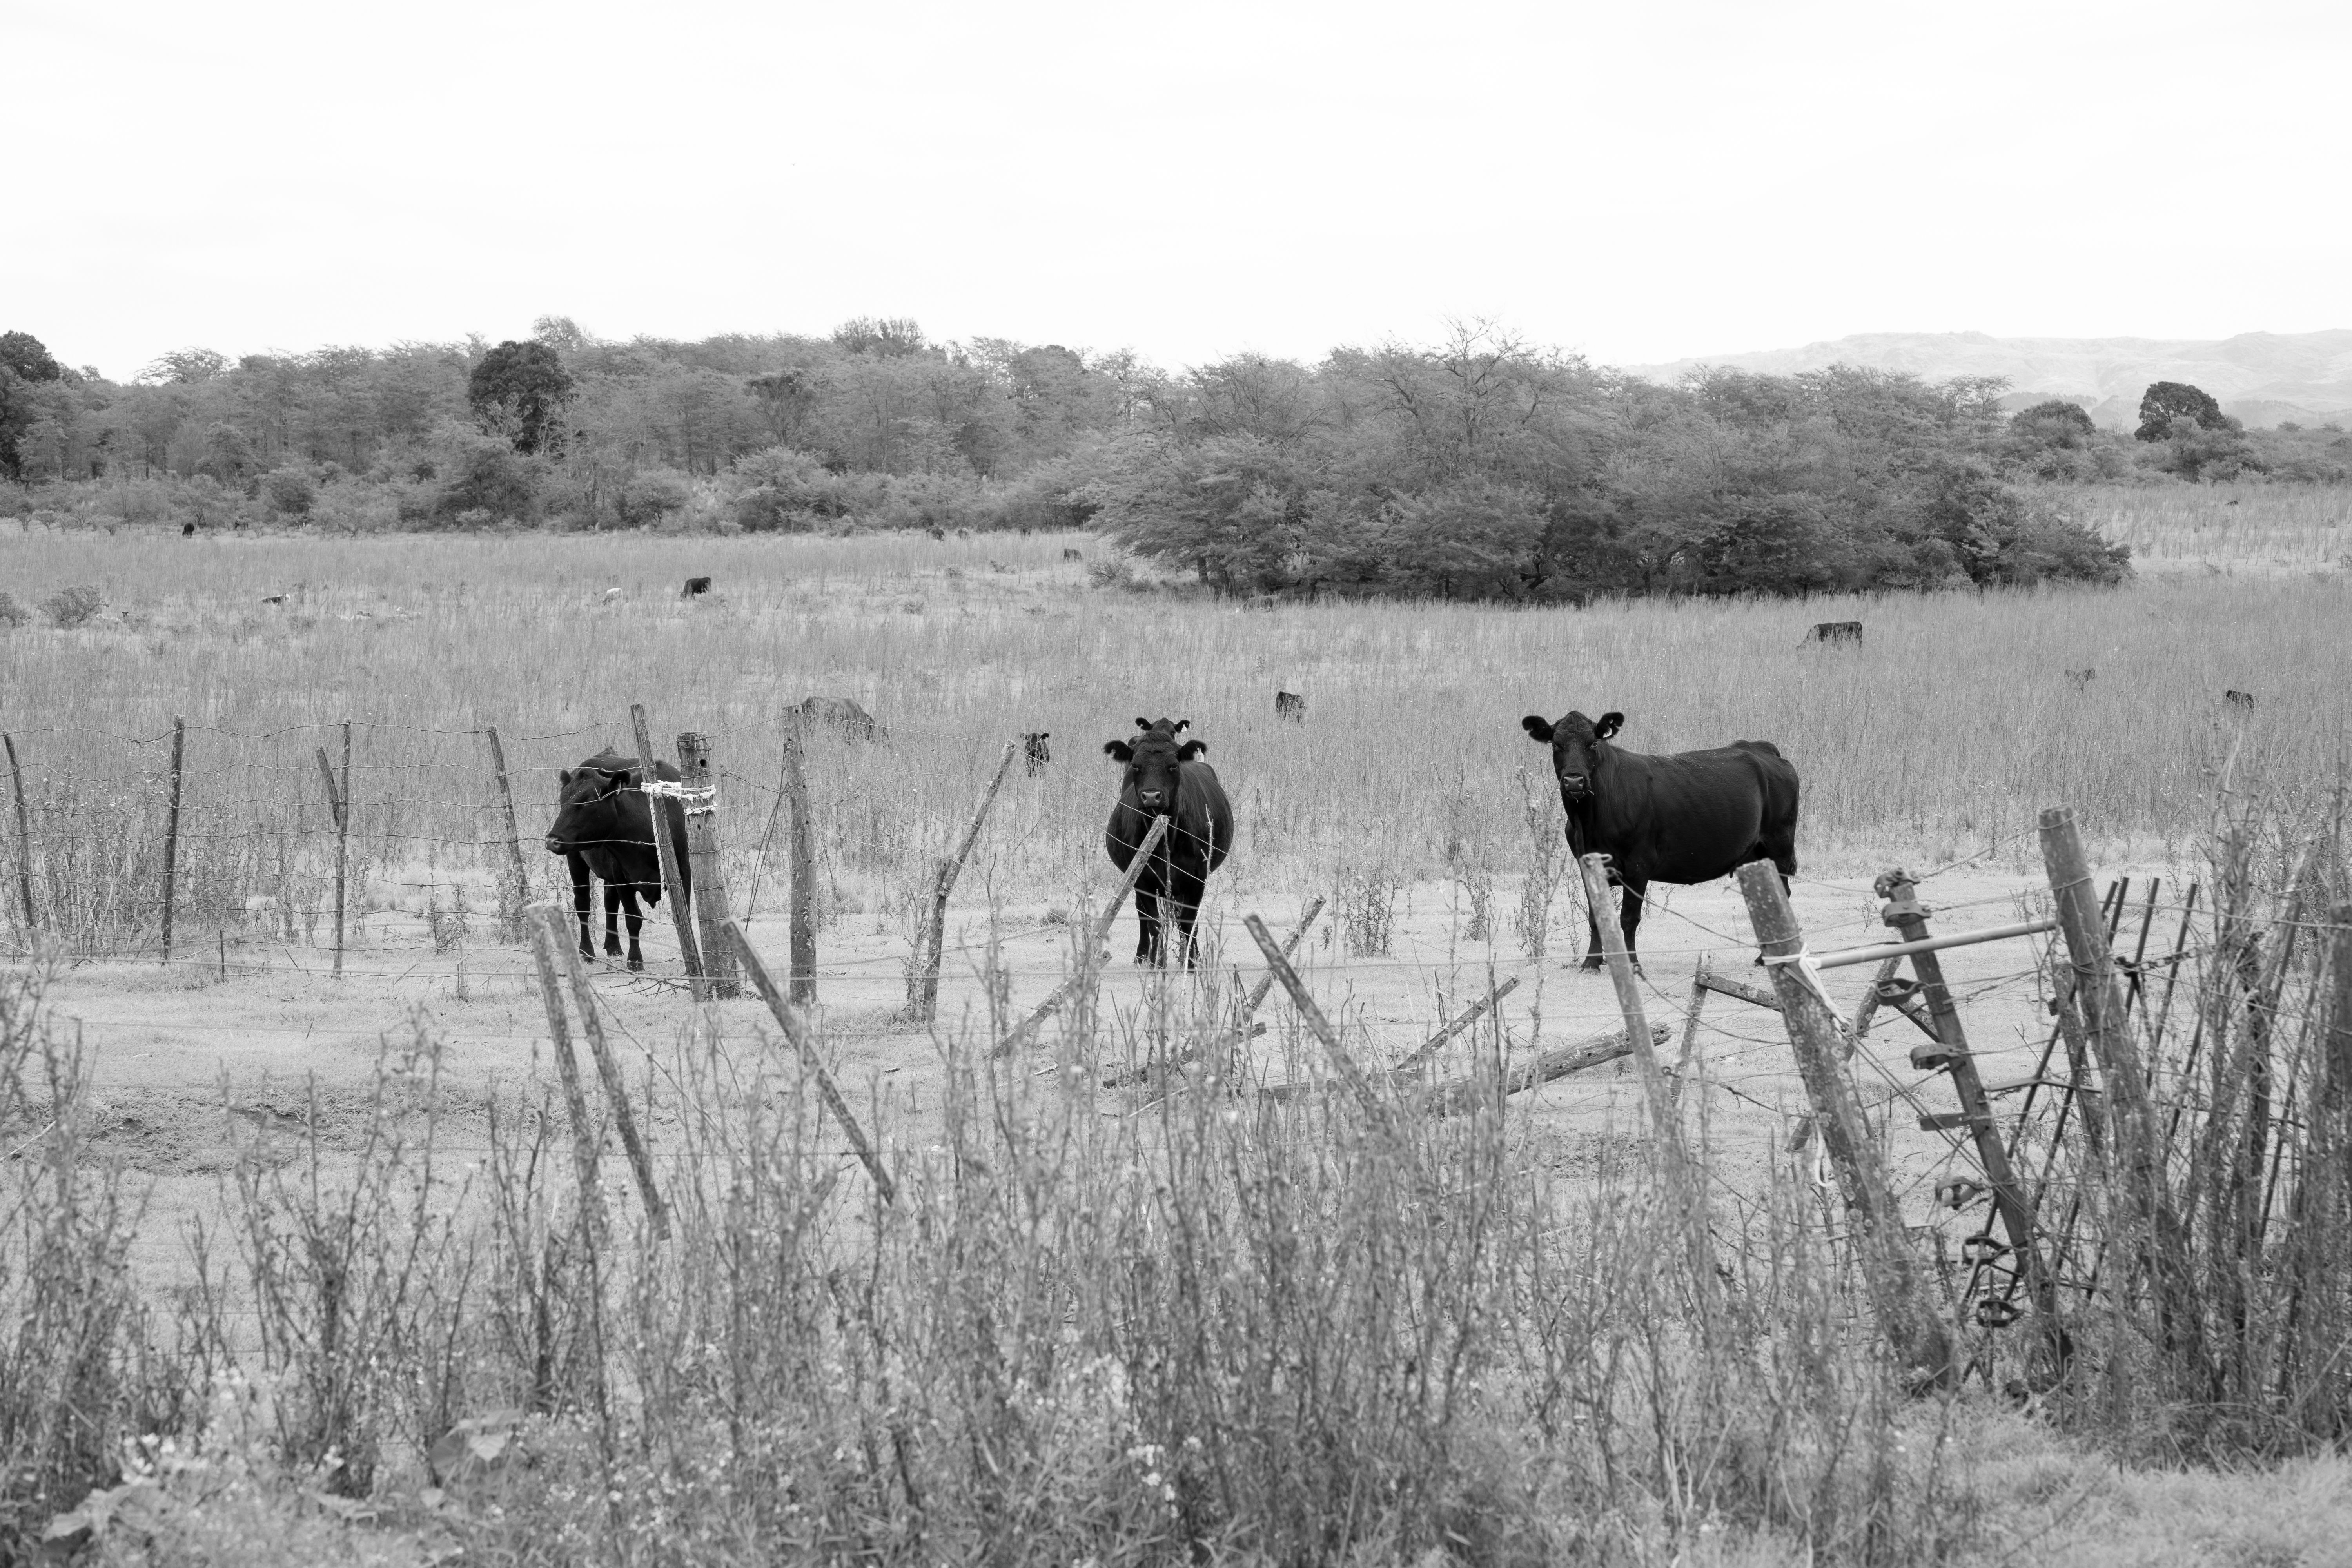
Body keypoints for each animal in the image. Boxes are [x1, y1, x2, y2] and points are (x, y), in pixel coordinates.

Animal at [545, 749, 692, 971]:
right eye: (562, 802)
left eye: (588, 802)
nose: (552, 841)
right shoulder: (622, 874)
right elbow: (633, 918)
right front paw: (635, 961)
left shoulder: (684, 869)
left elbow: (685, 916)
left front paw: (692, 959)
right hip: (576, 858)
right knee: (583, 904)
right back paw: (587, 952)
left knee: (609, 901)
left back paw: (613, 946)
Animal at [1104, 717, 1234, 968]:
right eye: (1135, 765)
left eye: (1174, 766)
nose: (1152, 796)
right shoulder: (1142, 879)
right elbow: (1154, 922)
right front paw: (1157, 963)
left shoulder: (1197, 878)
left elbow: (1188, 921)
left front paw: (1191, 963)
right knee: (1143, 914)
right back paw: (1144, 956)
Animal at [1521, 709, 1800, 972]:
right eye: (1556, 745)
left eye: (1593, 744)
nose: (1574, 780)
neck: (1588, 823)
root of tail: (1761, 748)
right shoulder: (1587, 865)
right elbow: (1595, 917)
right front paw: (1591, 963)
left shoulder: (1638, 864)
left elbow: (1629, 918)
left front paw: (1633, 964)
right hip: (1754, 854)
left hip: (1779, 843)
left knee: (1782, 893)